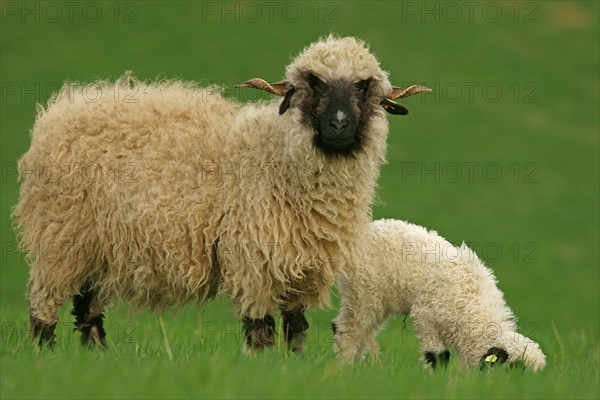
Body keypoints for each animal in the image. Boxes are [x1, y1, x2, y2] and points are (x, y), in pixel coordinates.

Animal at [14, 36, 432, 352]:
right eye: (313, 82)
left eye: (363, 86)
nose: (340, 124)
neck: (275, 154)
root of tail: (57, 111)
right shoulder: (252, 257)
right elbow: (259, 329)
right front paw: (262, 368)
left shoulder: (304, 265)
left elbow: (296, 329)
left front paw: (293, 367)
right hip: (60, 237)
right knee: (44, 307)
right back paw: (45, 357)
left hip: (97, 247)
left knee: (87, 310)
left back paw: (96, 358)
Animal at [332, 219, 548, 372]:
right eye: (514, 369)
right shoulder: (426, 318)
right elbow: (438, 355)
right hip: (364, 294)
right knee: (348, 327)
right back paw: (344, 364)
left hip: (378, 300)